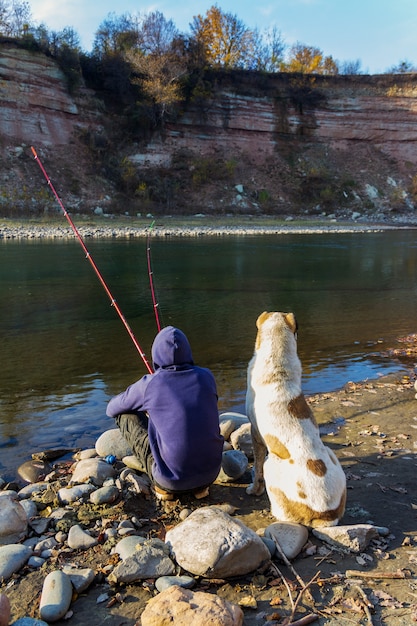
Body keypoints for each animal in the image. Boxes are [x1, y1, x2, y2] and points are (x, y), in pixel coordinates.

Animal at [245, 310, 346, 524]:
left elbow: (256, 469)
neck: (277, 366)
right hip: (331, 454)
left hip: (270, 464)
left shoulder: (255, 433)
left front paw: (253, 490)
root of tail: (325, 514)